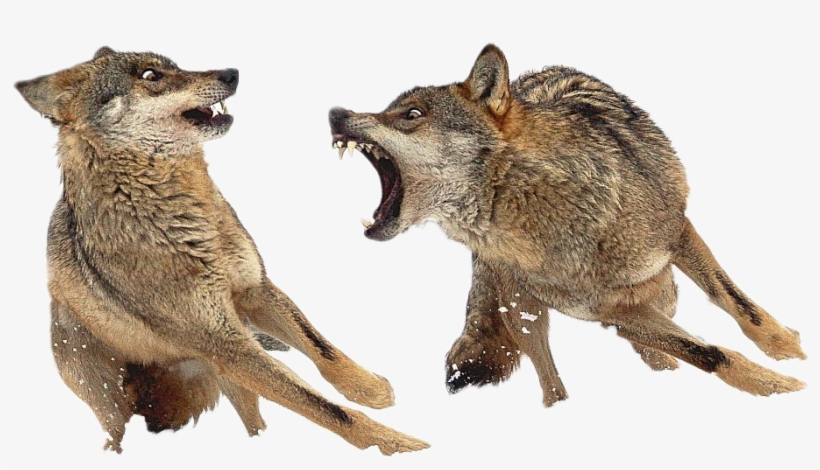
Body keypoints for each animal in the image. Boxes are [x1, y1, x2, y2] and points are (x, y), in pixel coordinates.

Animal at [16, 47, 428, 454]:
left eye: (175, 65)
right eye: (150, 75)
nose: (232, 73)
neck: (184, 214)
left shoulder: (255, 289)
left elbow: (323, 351)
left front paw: (371, 390)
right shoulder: (228, 345)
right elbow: (331, 411)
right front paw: (401, 446)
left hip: (232, 379)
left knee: (256, 422)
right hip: (125, 401)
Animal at [328, 44, 806, 407]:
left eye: (411, 114)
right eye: (391, 109)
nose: (335, 113)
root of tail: (529, 75)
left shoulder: (676, 236)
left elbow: (737, 307)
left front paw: (787, 355)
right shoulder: (611, 311)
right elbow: (710, 354)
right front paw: (783, 388)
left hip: (659, 292)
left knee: (657, 346)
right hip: (523, 311)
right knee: (552, 384)